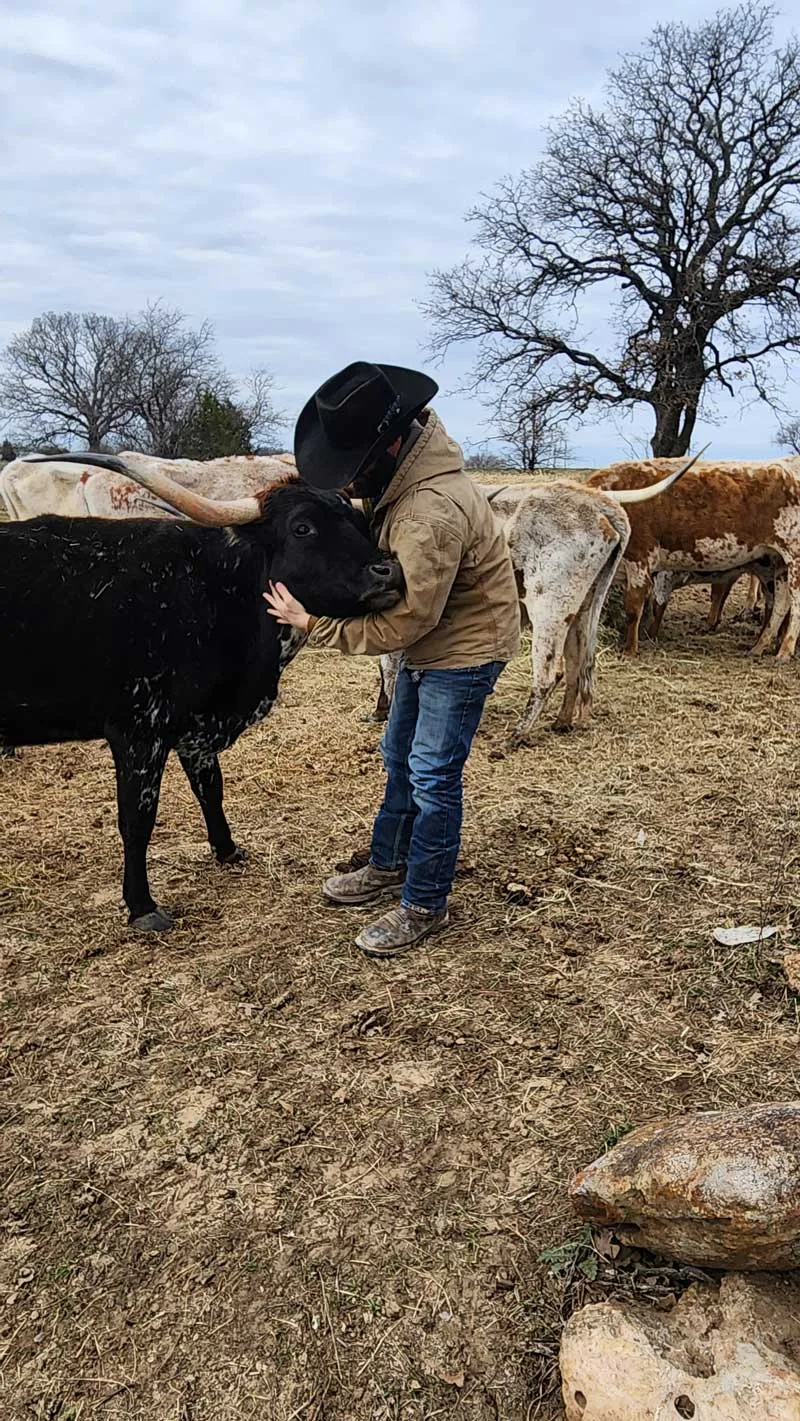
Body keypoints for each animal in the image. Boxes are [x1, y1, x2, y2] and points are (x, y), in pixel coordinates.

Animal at [0, 455, 403, 931]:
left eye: (359, 522)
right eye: (302, 527)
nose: (389, 572)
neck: (213, 587)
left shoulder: (196, 727)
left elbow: (211, 788)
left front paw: (227, 849)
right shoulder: (139, 731)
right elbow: (137, 819)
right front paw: (142, 905)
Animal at [371, 456, 698, 740]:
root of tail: (602, 505)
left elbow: (390, 665)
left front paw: (387, 713)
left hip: (550, 606)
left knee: (551, 672)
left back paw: (518, 733)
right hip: (584, 607)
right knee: (581, 663)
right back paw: (565, 721)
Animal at [586, 457, 800, 658]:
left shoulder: (639, 561)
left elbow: (634, 608)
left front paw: (630, 649)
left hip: (794, 559)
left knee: (795, 605)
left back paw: (784, 650)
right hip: (776, 564)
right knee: (780, 603)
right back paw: (759, 646)